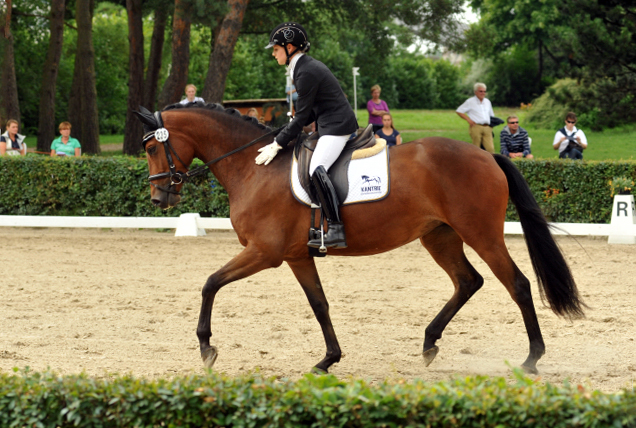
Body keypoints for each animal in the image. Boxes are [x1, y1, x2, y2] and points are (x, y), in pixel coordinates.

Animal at [135, 103, 588, 374]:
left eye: (153, 150)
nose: (159, 197)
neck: (253, 167)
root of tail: (486, 155)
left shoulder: (265, 252)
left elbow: (210, 283)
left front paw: (206, 348)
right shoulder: (298, 255)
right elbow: (319, 304)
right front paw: (328, 360)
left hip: (481, 233)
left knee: (518, 284)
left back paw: (531, 359)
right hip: (439, 236)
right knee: (467, 281)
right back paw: (429, 343)